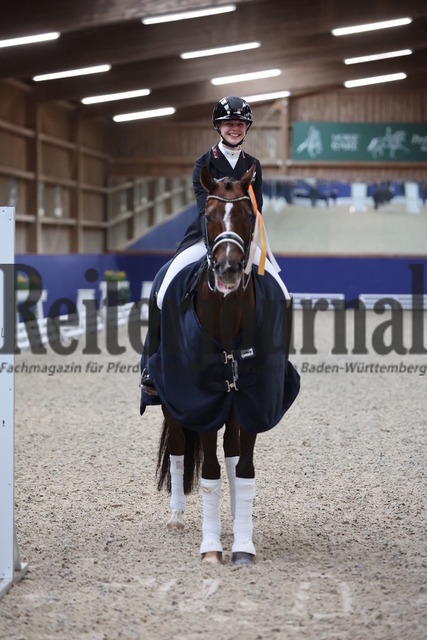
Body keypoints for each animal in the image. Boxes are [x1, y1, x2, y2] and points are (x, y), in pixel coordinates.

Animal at [141, 164, 300, 566]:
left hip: (233, 406)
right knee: (179, 449)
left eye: (247, 215)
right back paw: (177, 518)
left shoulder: (253, 401)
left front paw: (243, 545)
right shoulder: (199, 402)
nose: (228, 269)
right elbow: (209, 474)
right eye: (209, 216)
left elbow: (243, 470)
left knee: (231, 450)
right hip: (171, 399)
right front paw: (211, 547)